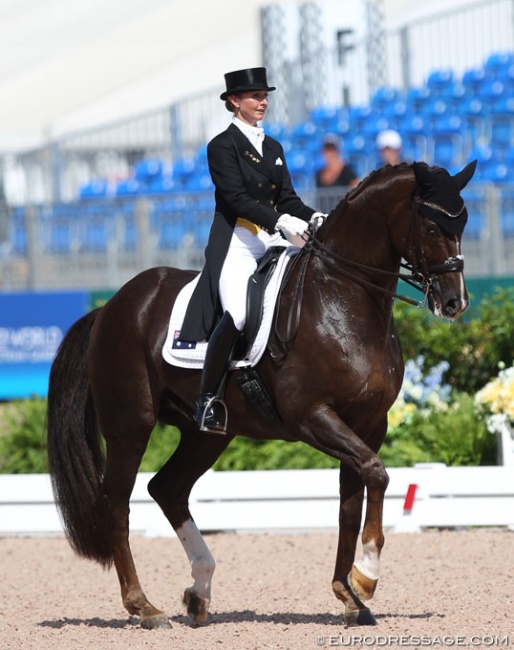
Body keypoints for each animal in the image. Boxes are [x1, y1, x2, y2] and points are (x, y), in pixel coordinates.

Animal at [46, 161, 474, 628]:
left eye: (463, 223)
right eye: (432, 226)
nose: (455, 302)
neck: (343, 298)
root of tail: (111, 306)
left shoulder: (368, 424)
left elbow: (352, 501)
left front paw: (348, 594)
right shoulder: (312, 416)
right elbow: (377, 474)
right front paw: (366, 578)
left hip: (206, 434)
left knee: (168, 489)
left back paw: (199, 592)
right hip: (130, 426)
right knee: (117, 503)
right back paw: (144, 605)